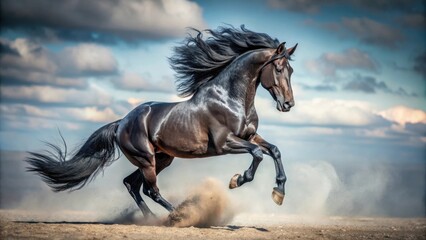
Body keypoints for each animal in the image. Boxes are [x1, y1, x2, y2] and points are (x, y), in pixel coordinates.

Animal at [26, 25, 298, 217]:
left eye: (291, 70)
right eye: (279, 69)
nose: (288, 105)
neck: (230, 98)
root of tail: (121, 122)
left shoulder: (249, 136)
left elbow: (274, 150)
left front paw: (279, 193)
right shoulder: (225, 143)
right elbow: (257, 154)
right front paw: (237, 180)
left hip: (162, 158)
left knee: (132, 184)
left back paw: (152, 218)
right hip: (146, 158)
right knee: (149, 189)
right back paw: (179, 214)